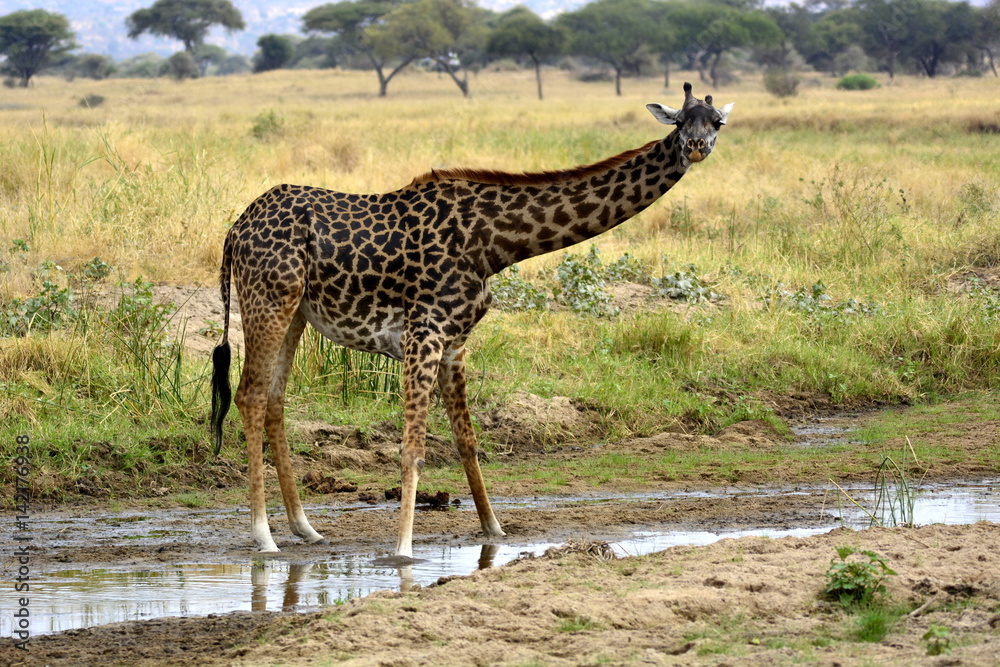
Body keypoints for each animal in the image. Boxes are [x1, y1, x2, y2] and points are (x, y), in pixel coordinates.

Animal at [210, 82, 733, 557]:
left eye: (717, 123)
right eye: (680, 122)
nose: (695, 147)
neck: (494, 244)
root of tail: (236, 229)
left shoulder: (455, 342)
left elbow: (467, 440)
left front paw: (494, 531)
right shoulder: (423, 333)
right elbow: (413, 447)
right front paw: (403, 549)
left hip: (296, 311)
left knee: (275, 399)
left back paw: (304, 527)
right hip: (268, 300)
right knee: (250, 395)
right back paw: (263, 535)